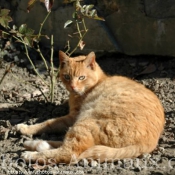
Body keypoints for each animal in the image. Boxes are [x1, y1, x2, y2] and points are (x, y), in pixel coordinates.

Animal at [15, 50, 165, 164]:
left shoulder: (72, 117)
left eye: (81, 77)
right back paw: (34, 144)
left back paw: (30, 154)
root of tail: (148, 143)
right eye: (67, 77)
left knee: (69, 152)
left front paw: (26, 128)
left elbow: (49, 123)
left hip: (85, 122)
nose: (72, 87)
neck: (97, 83)